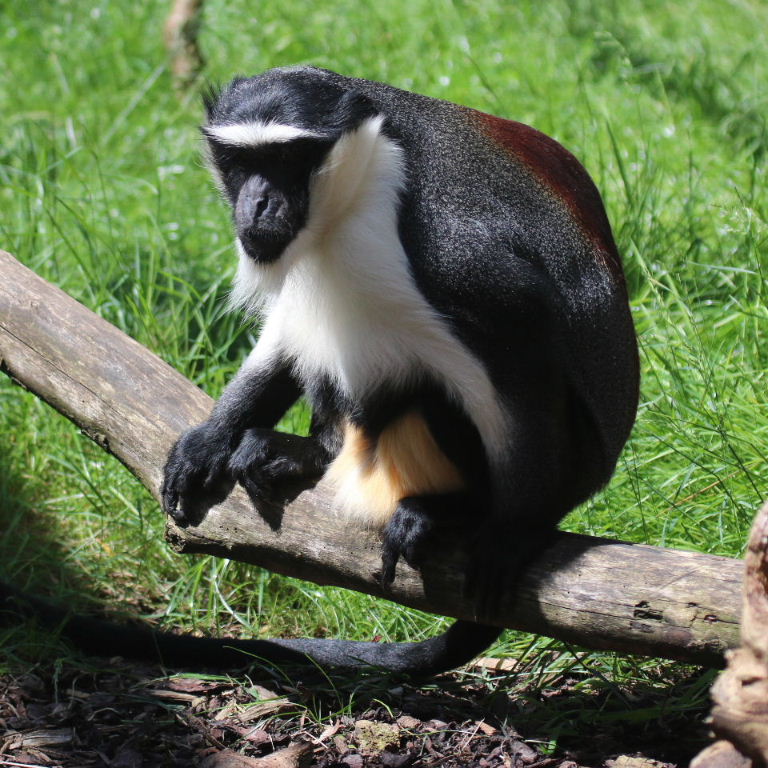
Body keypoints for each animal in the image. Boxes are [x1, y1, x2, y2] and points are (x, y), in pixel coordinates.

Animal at [1, 67, 638, 676]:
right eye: (241, 163)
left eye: (286, 161)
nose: (256, 202)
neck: (364, 181)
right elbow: (288, 328)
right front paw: (212, 438)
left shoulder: (461, 257)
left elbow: (526, 360)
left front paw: (511, 531)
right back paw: (305, 454)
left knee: (431, 392)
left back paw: (452, 509)